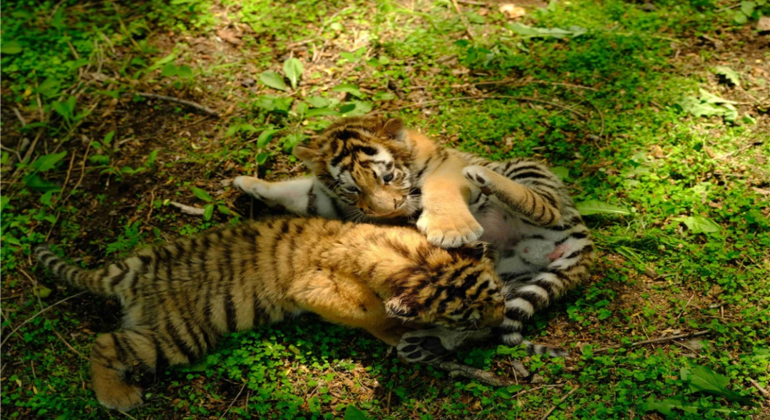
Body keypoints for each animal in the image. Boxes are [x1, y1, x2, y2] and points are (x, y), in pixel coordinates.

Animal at [35, 217, 505, 411]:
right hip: (179, 333)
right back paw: (117, 397)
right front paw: (396, 330)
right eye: (466, 320)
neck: (414, 261)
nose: (499, 325)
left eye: (498, 296)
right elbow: (370, 312)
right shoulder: (314, 288)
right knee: (105, 341)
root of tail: (130, 271)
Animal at [233, 116, 595, 362]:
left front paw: (450, 230)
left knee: (544, 208)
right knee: (488, 322)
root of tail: (583, 244)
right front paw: (248, 182)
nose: (387, 212)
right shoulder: (330, 200)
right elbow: (299, 191)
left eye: (388, 176)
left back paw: (483, 176)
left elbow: (439, 189)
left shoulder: (443, 166)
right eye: (351, 188)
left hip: (528, 170)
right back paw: (425, 343)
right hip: (507, 276)